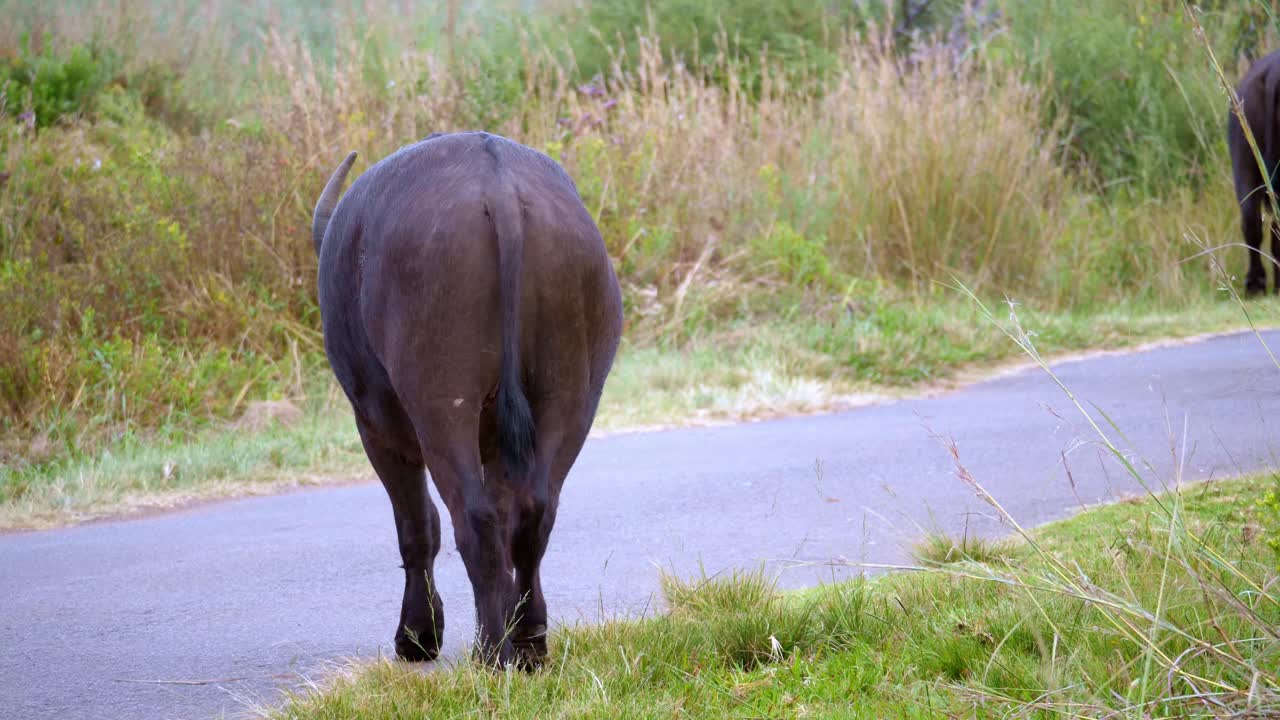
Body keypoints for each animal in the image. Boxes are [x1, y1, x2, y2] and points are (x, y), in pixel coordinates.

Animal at [311, 132, 623, 668]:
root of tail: (499, 189)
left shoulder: (376, 429)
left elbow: (417, 525)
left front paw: (418, 634)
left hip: (439, 403)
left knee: (472, 518)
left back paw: (491, 650)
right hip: (571, 396)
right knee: (533, 512)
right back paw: (527, 638)